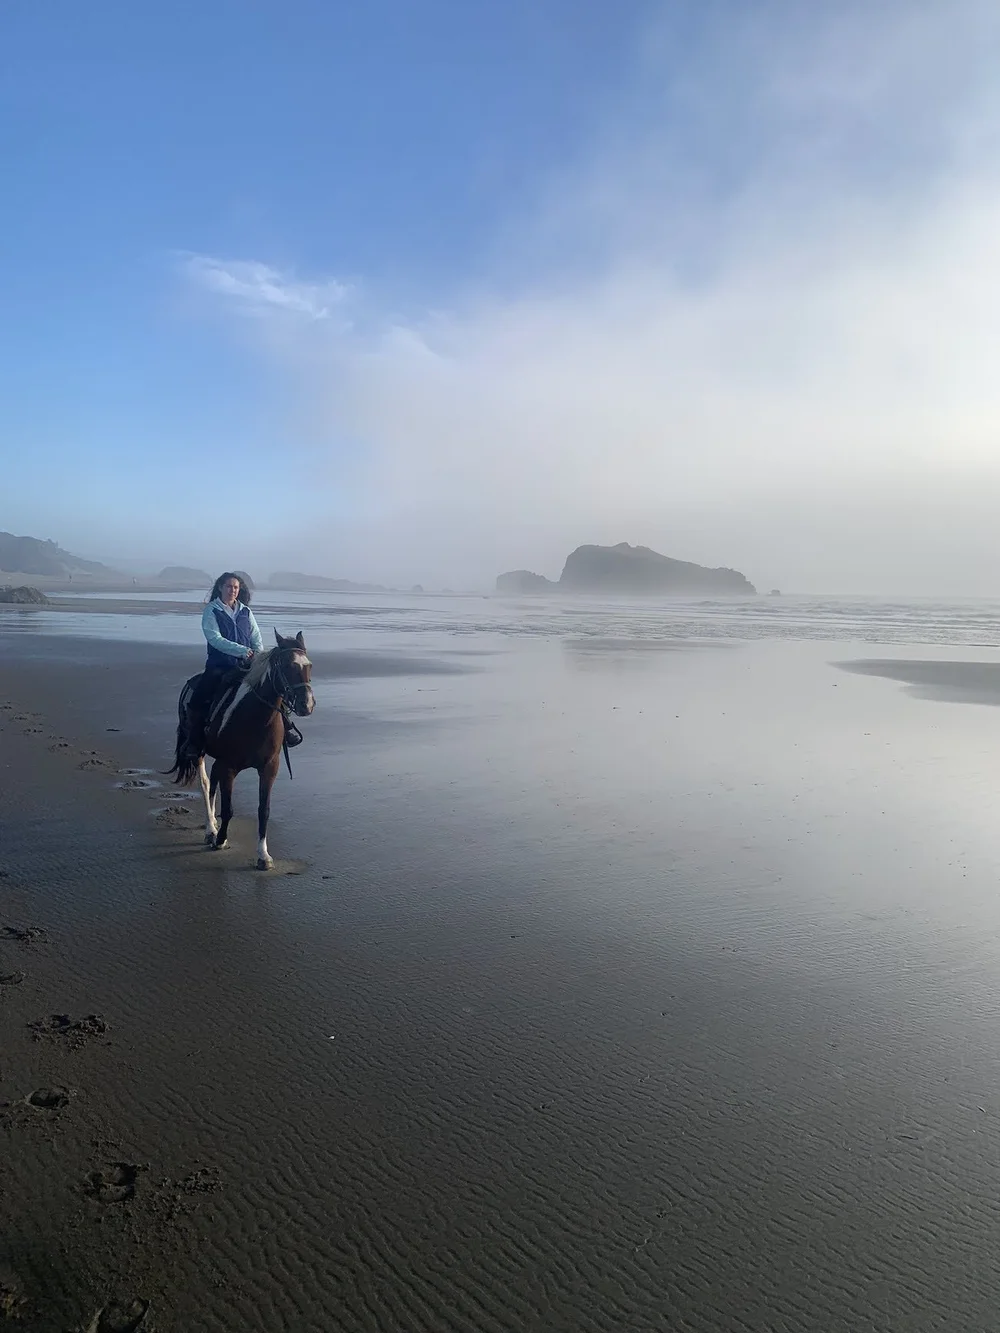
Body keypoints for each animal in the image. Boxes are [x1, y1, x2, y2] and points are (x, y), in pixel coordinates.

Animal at [166, 630, 316, 869]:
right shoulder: (229, 767)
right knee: (205, 783)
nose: (306, 705)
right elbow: (228, 809)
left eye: (308, 665)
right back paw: (210, 828)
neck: (255, 717)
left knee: (212, 783)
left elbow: (263, 811)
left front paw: (263, 855)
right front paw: (220, 840)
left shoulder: (269, 768)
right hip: (199, 753)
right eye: (286, 665)